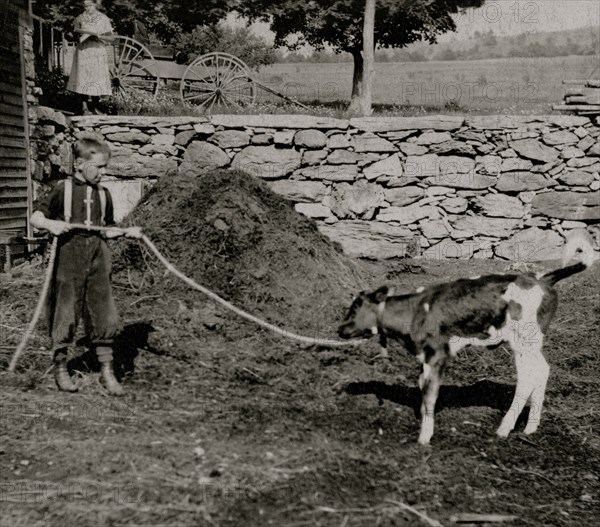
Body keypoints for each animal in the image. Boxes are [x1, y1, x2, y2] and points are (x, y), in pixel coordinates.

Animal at [338, 233, 596, 444]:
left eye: (355, 307)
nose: (339, 329)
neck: (415, 311)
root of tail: (542, 278)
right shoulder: (425, 357)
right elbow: (422, 387)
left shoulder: (438, 354)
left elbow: (430, 394)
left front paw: (424, 437)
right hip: (531, 344)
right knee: (542, 371)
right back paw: (530, 428)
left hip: (524, 341)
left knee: (528, 378)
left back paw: (504, 428)